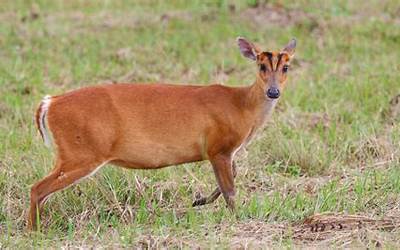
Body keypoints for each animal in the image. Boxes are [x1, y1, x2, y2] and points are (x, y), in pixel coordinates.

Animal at [29, 37, 296, 230]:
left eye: (286, 67)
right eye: (261, 65)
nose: (273, 92)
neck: (241, 106)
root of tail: (49, 103)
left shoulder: (223, 151)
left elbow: (231, 178)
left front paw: (198, 200)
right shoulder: (219, 147)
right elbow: (230, 189)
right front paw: (237, 217)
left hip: (70, 154)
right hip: (82, 153)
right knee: (37, 188)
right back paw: (34, 230)